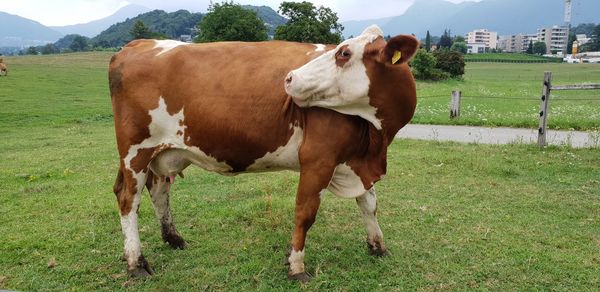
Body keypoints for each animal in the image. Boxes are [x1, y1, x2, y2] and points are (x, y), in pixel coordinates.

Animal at [109, 25, 418, 280]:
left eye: (344, 53)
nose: (290, 77)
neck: (374, 141)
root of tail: (136, 44)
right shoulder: (318, 159)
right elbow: (305, 212)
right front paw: (296, 267)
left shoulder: (353, 161)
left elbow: (369, 204)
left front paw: (378, 246)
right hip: (135, 152)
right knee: (128, 200)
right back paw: (136, 263)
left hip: (163, 152)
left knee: (158, 190)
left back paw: (174, 239)